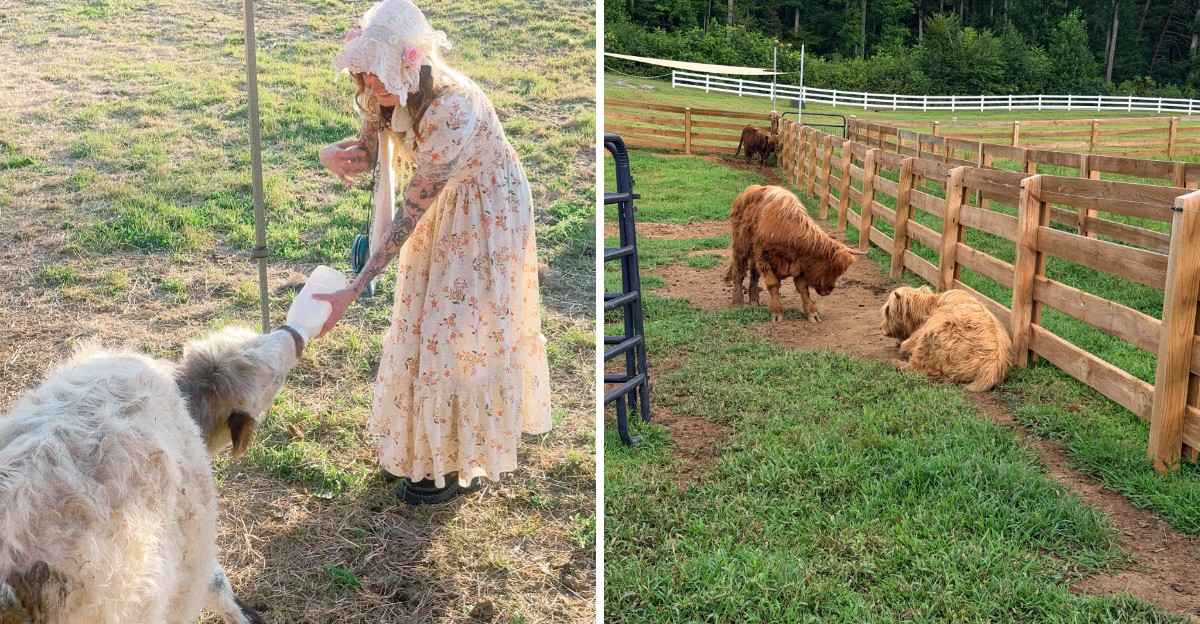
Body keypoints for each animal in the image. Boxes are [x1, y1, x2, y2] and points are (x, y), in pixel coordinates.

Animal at [724, 185, 865, 323]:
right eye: (833, 269)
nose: (830, 288)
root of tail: (744, 193)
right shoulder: (764, 258)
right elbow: (773, 284)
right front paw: (776, 312)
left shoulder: (799, 264)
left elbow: (803, 288)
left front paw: (812, 313)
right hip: (741, 245)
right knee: (739, 270)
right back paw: (738, 301)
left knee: (754, 273)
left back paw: (754, 299)